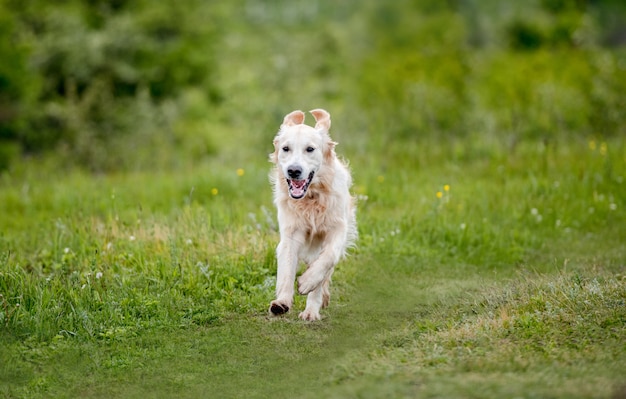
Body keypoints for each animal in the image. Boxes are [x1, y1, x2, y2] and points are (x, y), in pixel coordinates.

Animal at [266, 109, 356, 322]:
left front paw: (308, 288)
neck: (312, 198)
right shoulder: (291, 234)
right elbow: (286, 271)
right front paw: (282, 302)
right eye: (286, 148)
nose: (294, 170)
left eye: (310, 149)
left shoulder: (337, 229)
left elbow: (327, 259)